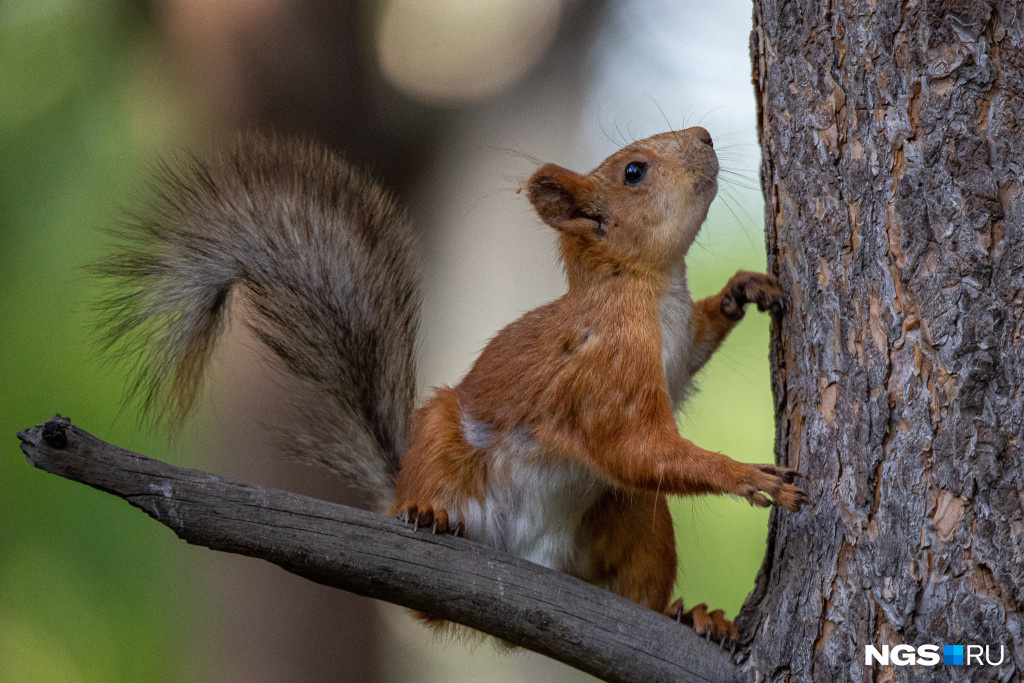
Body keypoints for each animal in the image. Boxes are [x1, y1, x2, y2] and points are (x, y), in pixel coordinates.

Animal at [96, 126, 806, 651]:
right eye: (635, 171)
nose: (706, 134)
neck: (650, 292)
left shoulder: (677, 347)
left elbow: (692, 355)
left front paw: (744, 289)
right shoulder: (605, 369)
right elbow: (630, 446)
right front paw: (747, 476)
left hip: (633, 520)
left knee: (637, 589)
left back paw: (692, 617)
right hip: (441, 445)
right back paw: (428, 515)